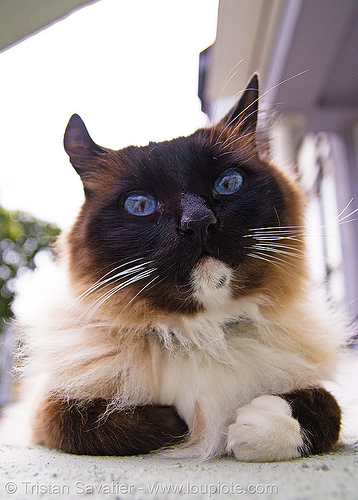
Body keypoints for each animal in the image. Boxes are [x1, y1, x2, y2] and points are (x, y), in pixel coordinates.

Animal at [17, 76, 344, 462]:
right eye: (140, 205)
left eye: (228, 183)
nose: (198, 222)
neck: (201, 333)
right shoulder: (51, 409)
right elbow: (152, 423)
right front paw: (194, 426)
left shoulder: (317, 393)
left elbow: (327, 408)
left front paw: (255, 426)